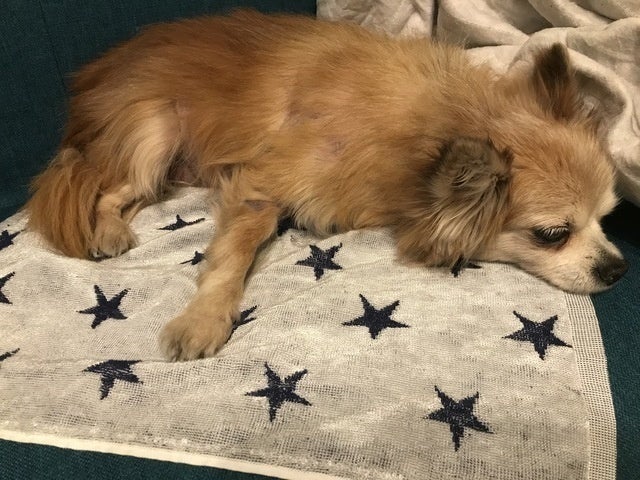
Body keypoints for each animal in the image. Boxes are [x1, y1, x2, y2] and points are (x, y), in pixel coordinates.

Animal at [26, 10, 627, 361]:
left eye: (606, 219)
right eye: (553, 234)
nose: (619, 269)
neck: (434, 128)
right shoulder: (260, 184)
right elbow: (232, 256)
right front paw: (203, 318)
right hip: (157, 128)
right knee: (111, 188)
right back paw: (107, 229)